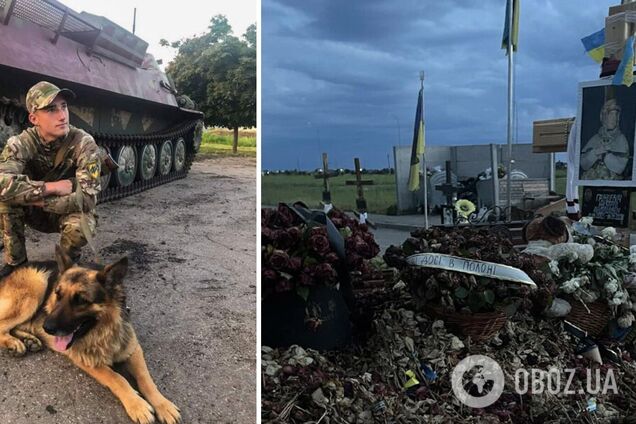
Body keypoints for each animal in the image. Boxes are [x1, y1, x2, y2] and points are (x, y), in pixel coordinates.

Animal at [0, 247, 181, 422]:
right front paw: (137, 404)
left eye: (81, 300)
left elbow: (145, 379)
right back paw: (14, 342)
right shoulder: (86, 358)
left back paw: (29, 340)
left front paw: (163, 405)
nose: (47, 328)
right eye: (57, 295)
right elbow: (117, 378)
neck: (102, 330)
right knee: (2, 325)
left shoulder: (132, 347)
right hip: (36, 285)